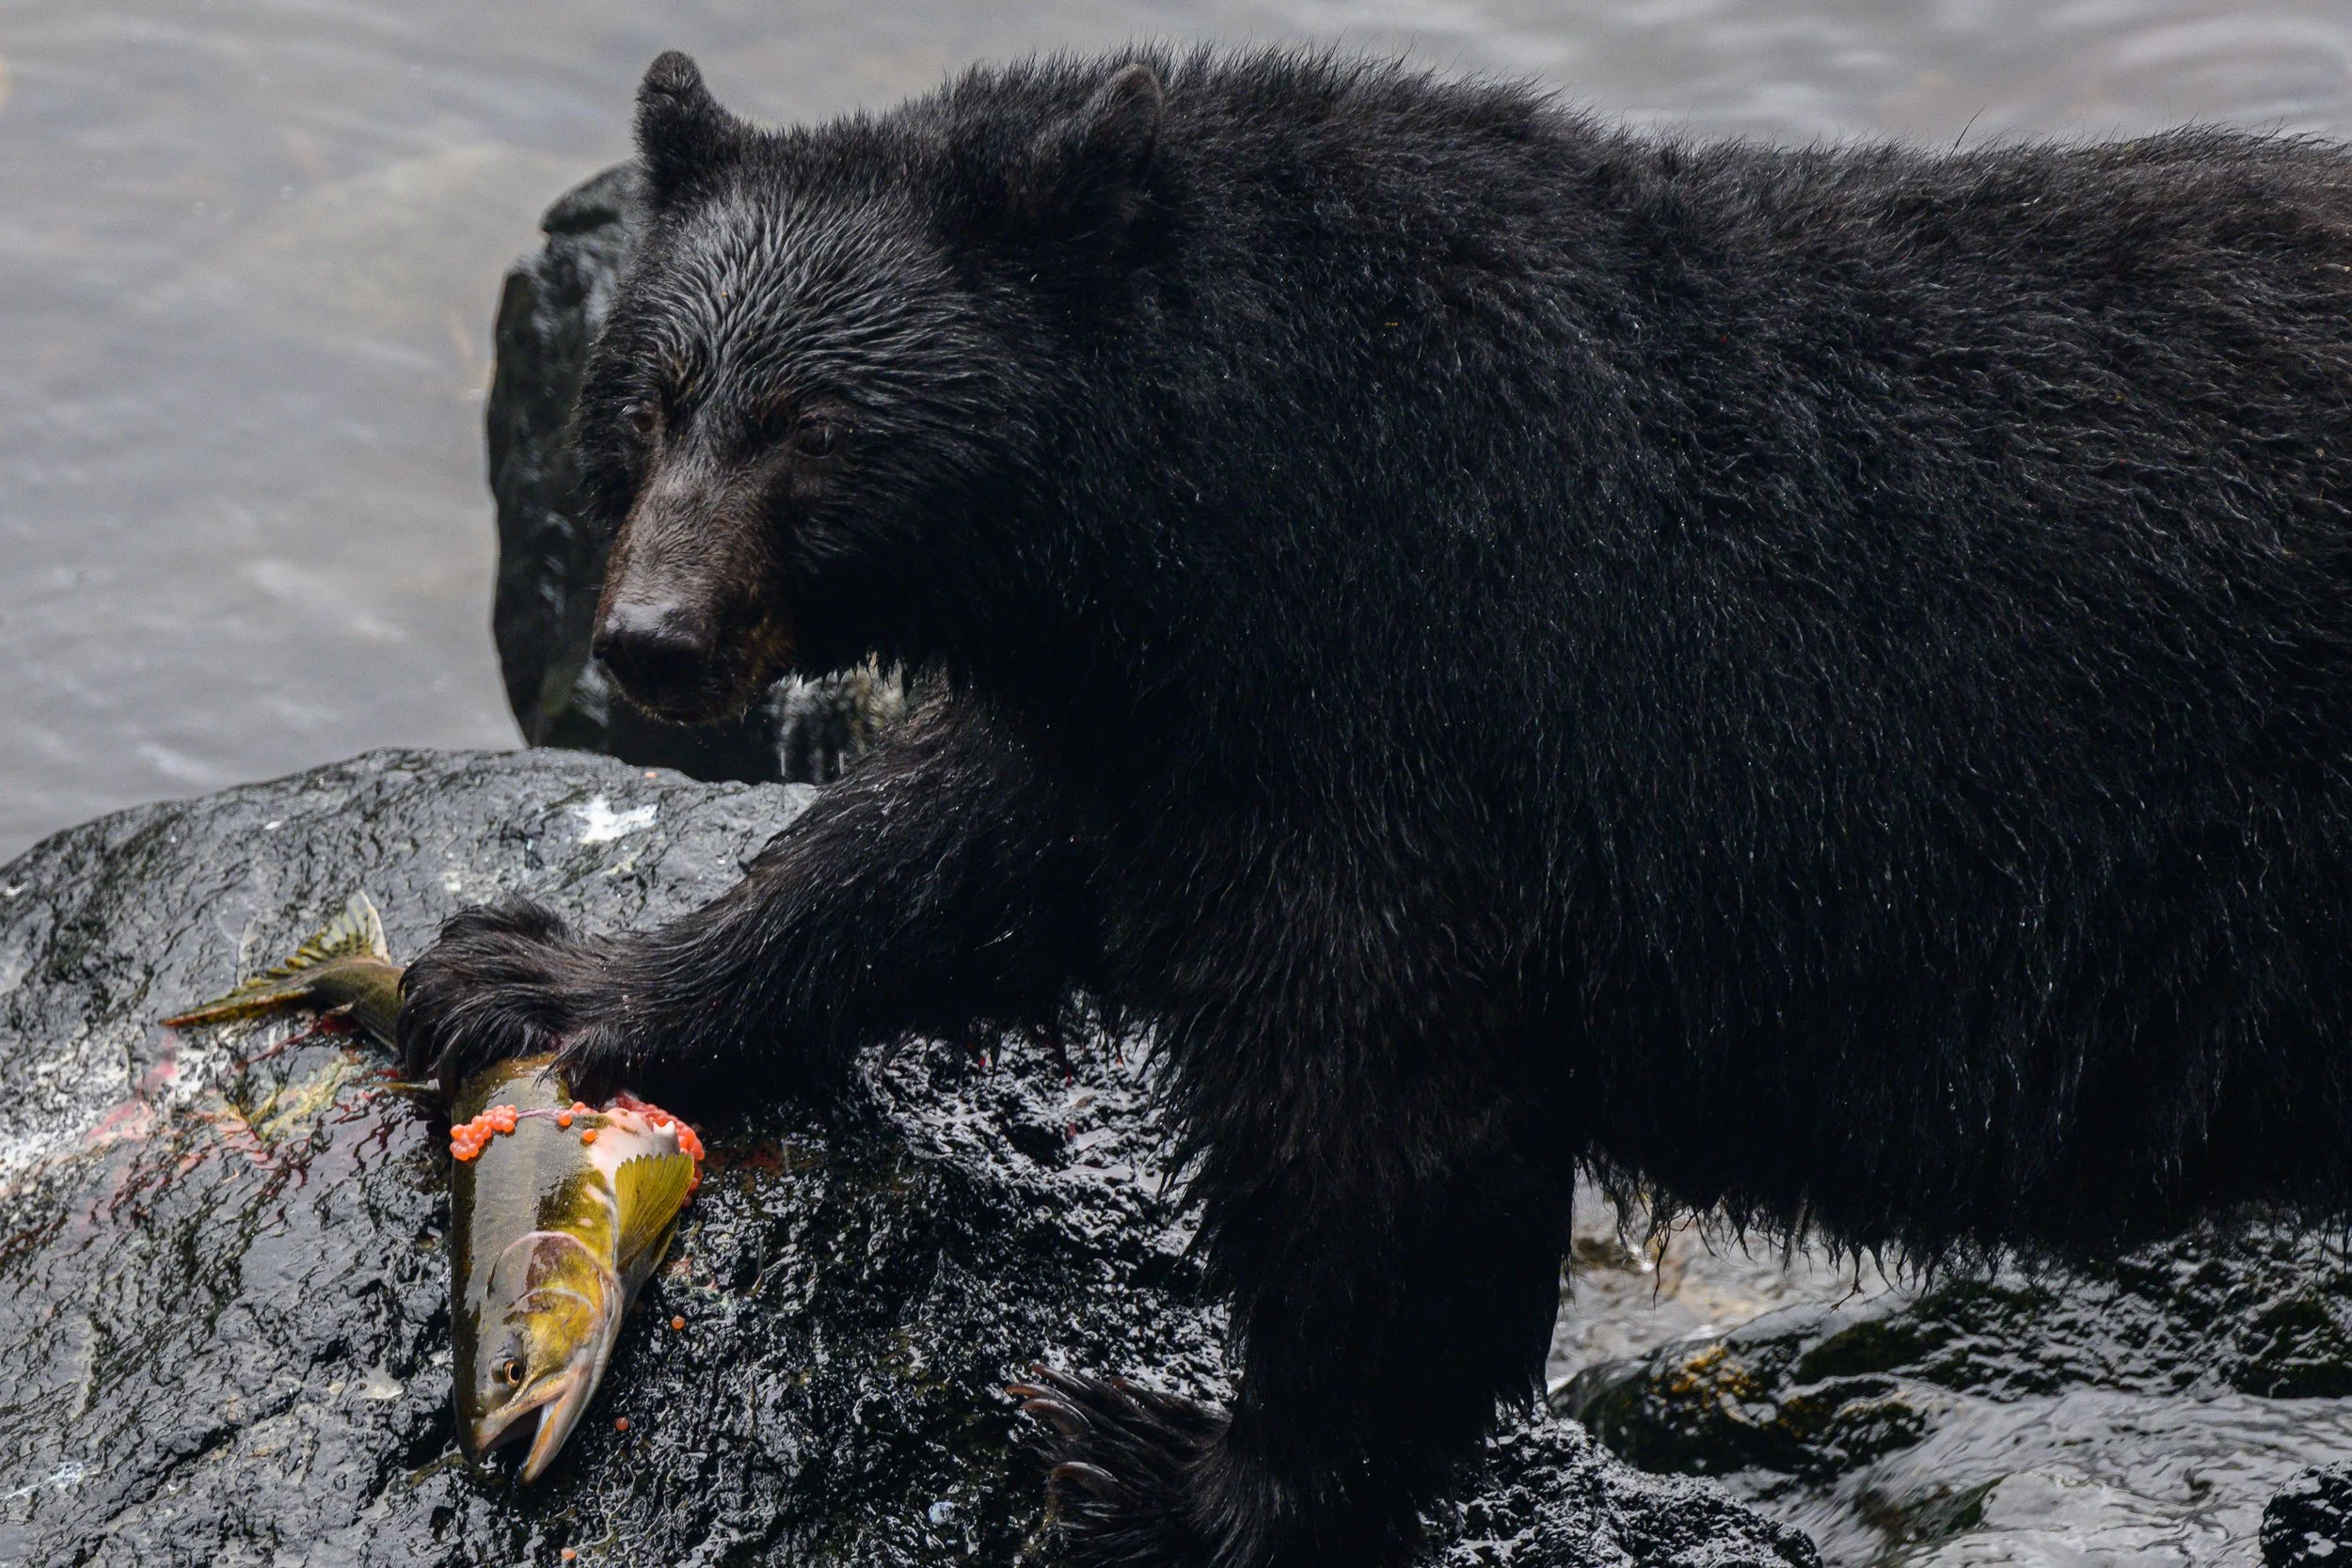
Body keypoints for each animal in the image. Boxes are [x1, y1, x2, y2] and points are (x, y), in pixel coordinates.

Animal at [398, 45, 2352, 1568]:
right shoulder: (1171, 708)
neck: (1210, 476)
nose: (651, 640)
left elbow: (1380, 1134)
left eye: (814, 423)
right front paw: (538, 972)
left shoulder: (1419, 703)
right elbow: (939, 847)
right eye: (652, 400)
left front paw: (1169, 1466)